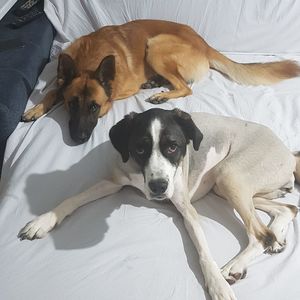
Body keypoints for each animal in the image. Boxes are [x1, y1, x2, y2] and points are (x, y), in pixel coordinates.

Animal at [17, 108, 298, 300]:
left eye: (173, 147)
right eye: (140, 149)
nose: (159, 187)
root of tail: (288, 152)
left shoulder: (187, 209)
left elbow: (203, 253)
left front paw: (216, 284)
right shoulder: (112, 183)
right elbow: (74, 197)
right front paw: (44, 220)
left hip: (228, 175)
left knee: (260, 234)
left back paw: (235, 266)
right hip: (228, 185)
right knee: (287, 210)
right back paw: (277, 237)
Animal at [22, 20, 300, 144]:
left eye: (95, 107)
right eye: (72, 105)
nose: (79, 138)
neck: (90, 60)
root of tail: (205, 44)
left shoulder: (123, 88)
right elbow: (54, 91)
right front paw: (36, 108)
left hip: (155, 45)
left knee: (185, 86)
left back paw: (161, 94)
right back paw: (154, 84)